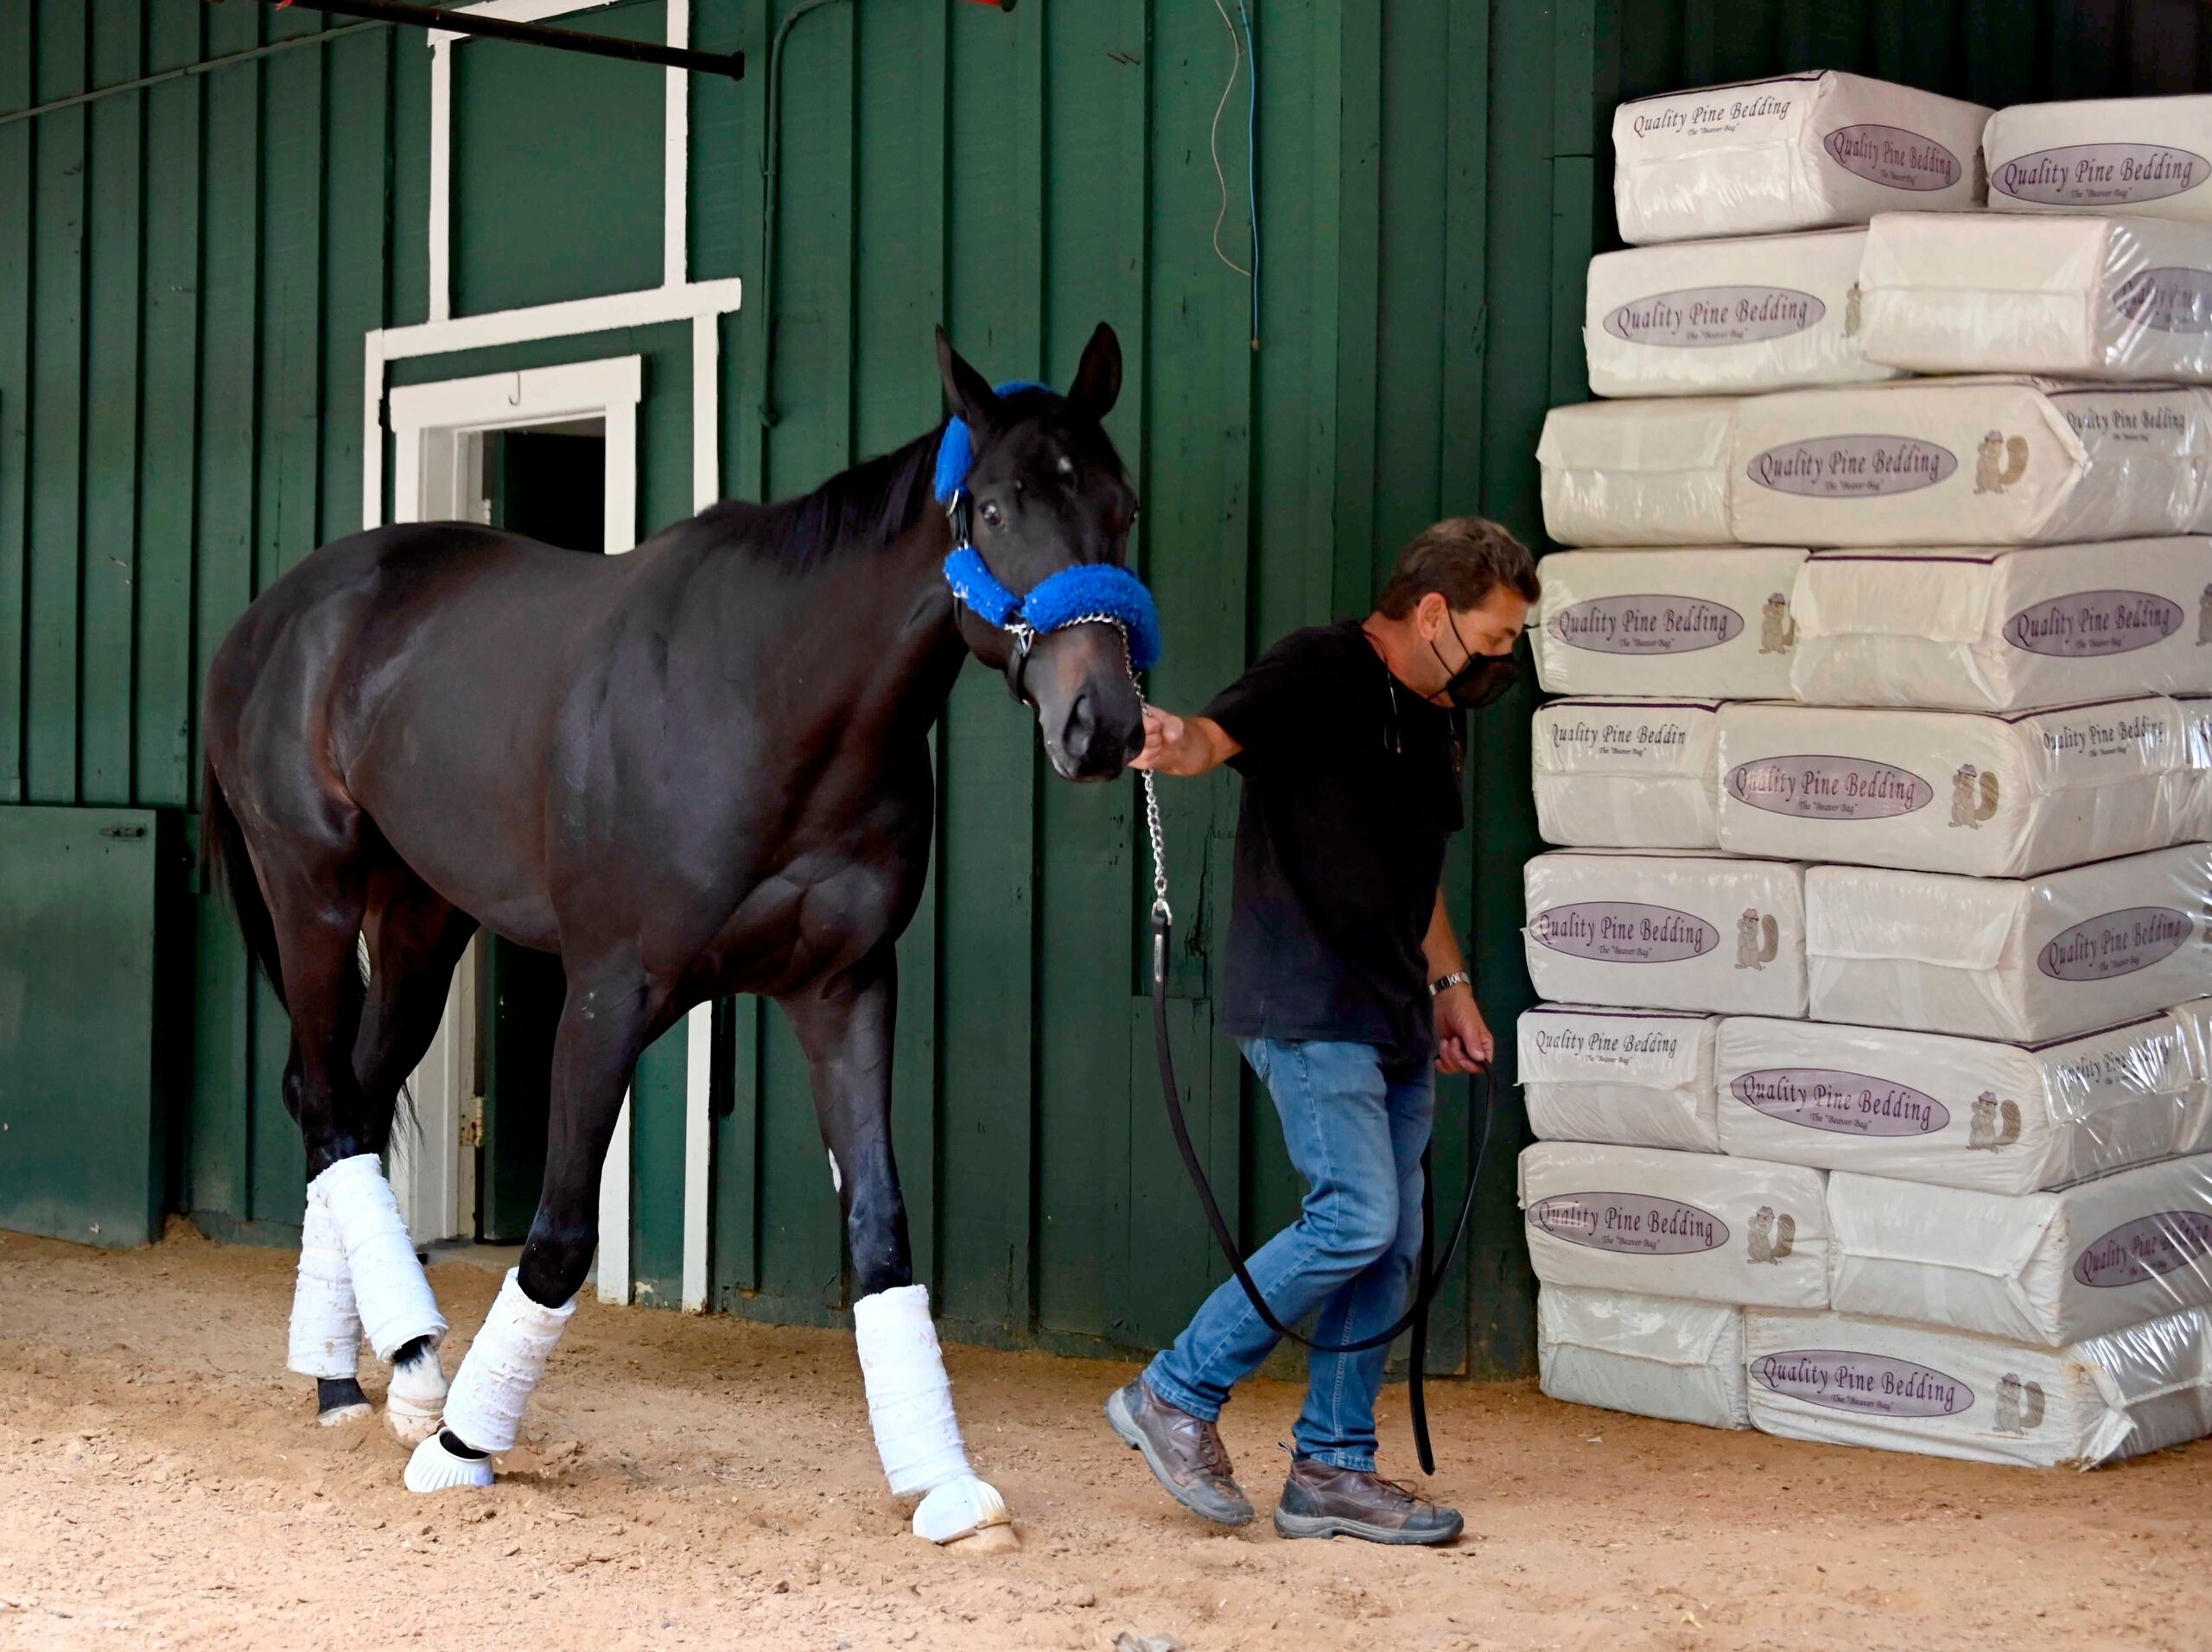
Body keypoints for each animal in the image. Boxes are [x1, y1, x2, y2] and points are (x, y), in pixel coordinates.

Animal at [196, 322, 1141, 1547]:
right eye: (991, 506)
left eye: (1120, 504)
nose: (1102, 725)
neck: (769, 698)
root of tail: (273, 617)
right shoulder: (608, 995)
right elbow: (557, 1235)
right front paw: (463, 1447)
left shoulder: (846, 988)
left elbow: (880, 1232)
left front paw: (943, 1482)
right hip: (311, 895)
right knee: (327, 1108)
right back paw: (398, 1380)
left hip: (420, 924)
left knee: (343, 1104)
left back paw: (364, 1377)